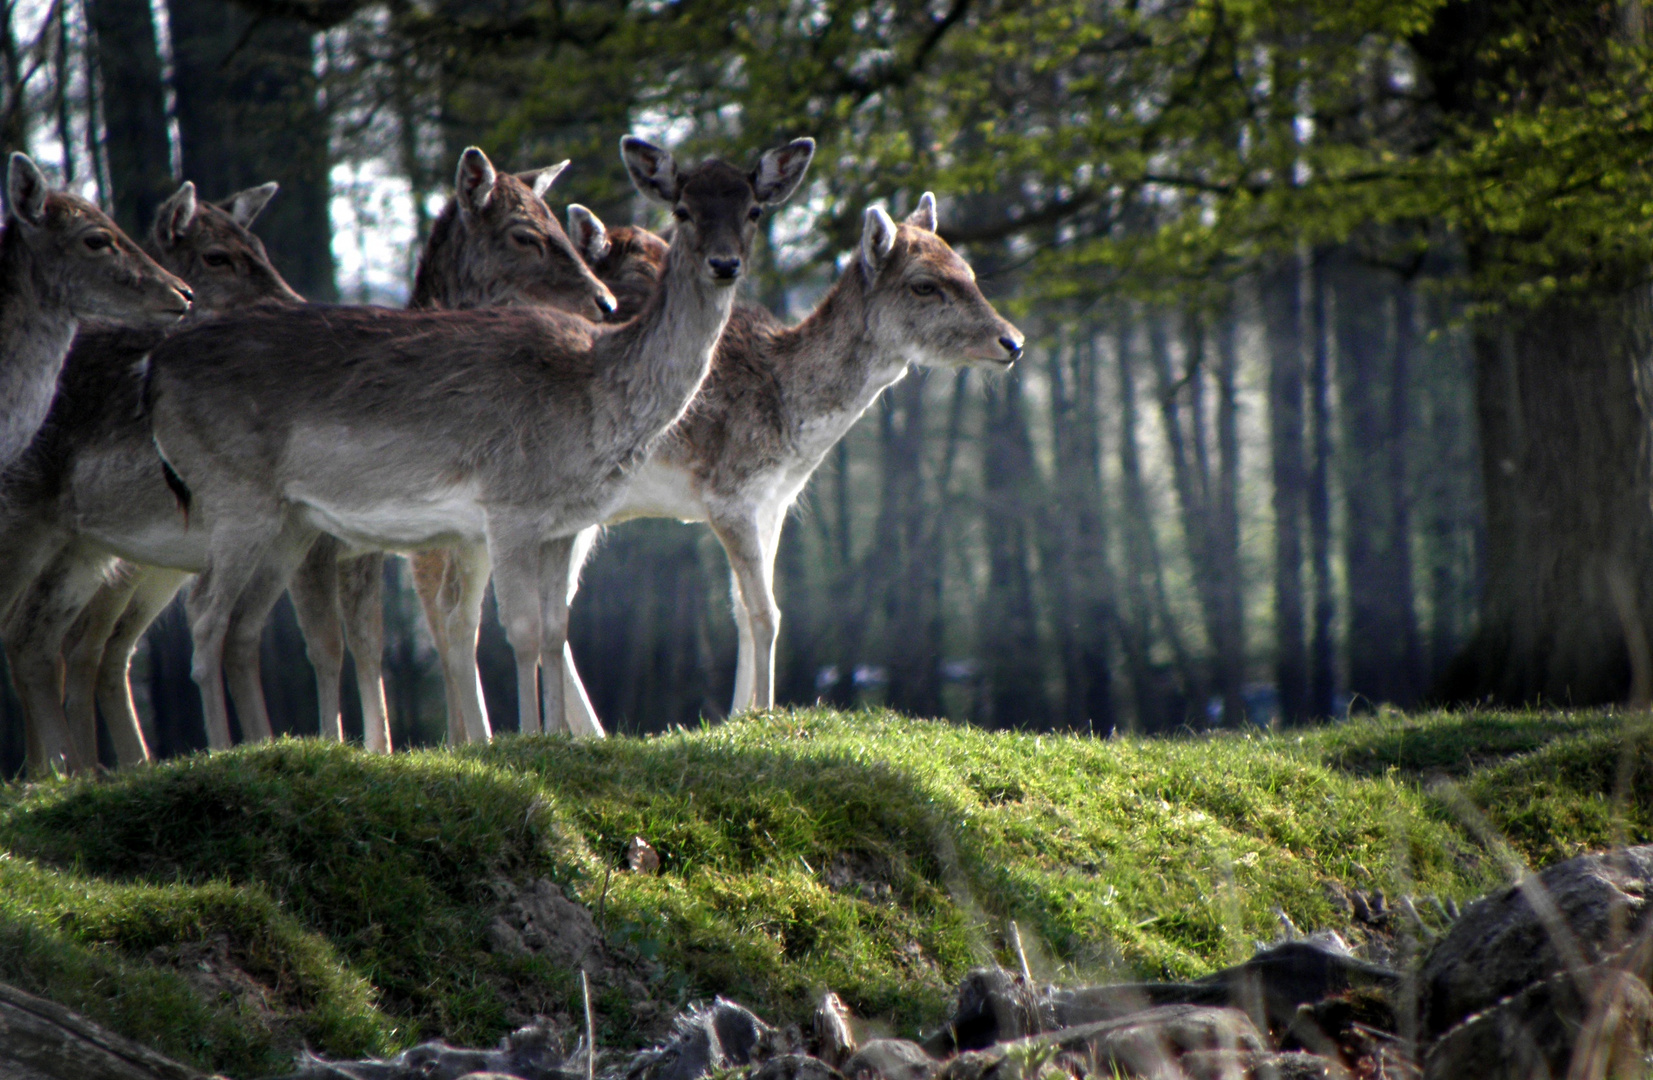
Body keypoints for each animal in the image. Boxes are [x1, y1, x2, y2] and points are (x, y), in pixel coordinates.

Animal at [145, 134, 816, 750]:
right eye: (682, 210)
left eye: (754, 210)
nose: (725, 264)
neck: (595, 395)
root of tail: (154, 370)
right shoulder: (510, 504)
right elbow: (519, 628)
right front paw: (524, 740)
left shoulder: (567, 522)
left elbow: (556, 628)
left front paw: (557, 741)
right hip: (234, 494)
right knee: (204, 612)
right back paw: (221, 750)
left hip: (290, 522)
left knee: (242, 624)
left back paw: (260, 744)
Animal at [419, 191, 1018, 740]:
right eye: (924, 284)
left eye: (969, 272)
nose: (1012, 340)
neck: (790, 416)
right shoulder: (729, 494)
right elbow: (766, 611)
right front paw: (767, 716)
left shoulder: (774, 502)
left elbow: (742, 610)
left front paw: (740, 717)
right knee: (462, 610)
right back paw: (493, 740)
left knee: (506, 609)